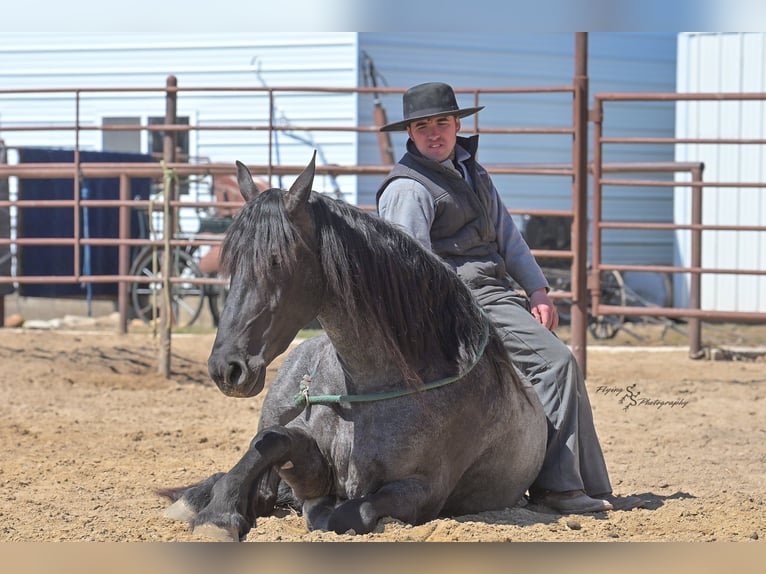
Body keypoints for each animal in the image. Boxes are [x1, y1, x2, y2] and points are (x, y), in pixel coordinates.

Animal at [161, 153, 546, 541]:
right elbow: (270, 442)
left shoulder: (421, 491)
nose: (227, 367)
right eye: (234, 261)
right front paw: (219, 514)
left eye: (276, 259)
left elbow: (346, 512)